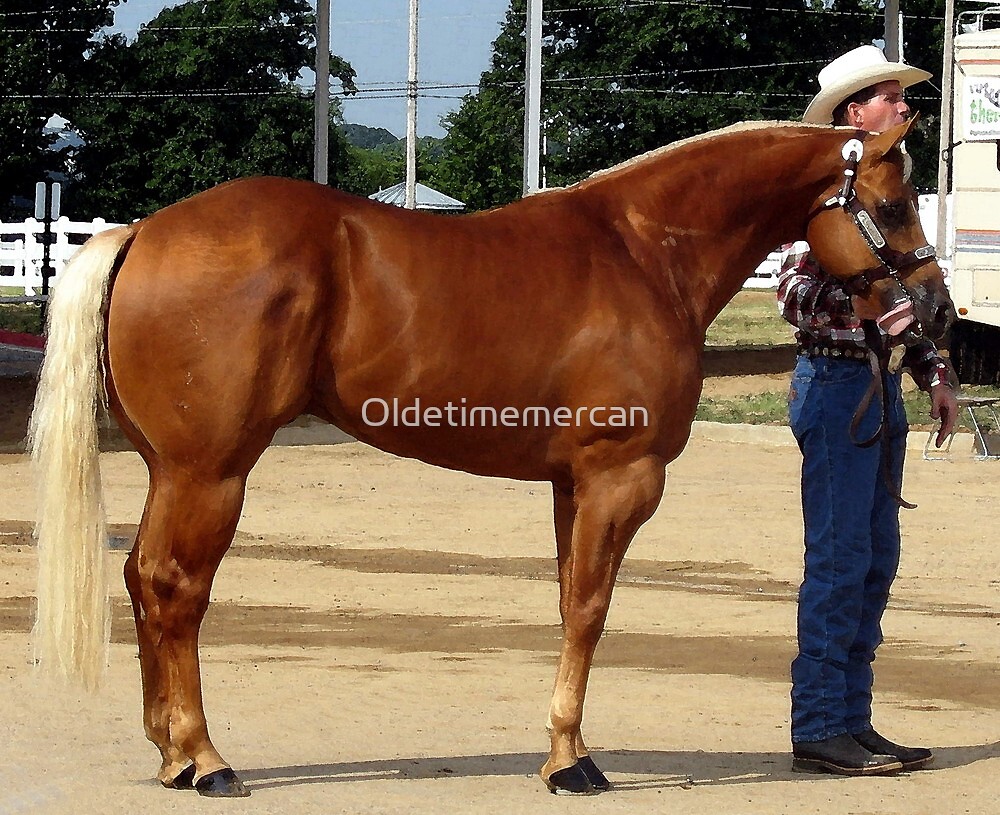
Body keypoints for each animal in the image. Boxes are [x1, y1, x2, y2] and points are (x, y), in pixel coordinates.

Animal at [29, 117, 953, 797]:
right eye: (895, 204)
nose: (938, 312)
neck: (646, 251)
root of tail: (145, 231)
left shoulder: (570, 484)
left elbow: (569, 602)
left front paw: (563, 746)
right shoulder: (620, 478)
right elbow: (591, 610)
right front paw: (572, 762)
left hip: (170, 471)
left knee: (141, 581)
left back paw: (170, 754)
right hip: (211, 474)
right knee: (177, 590)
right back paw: (206, 758)